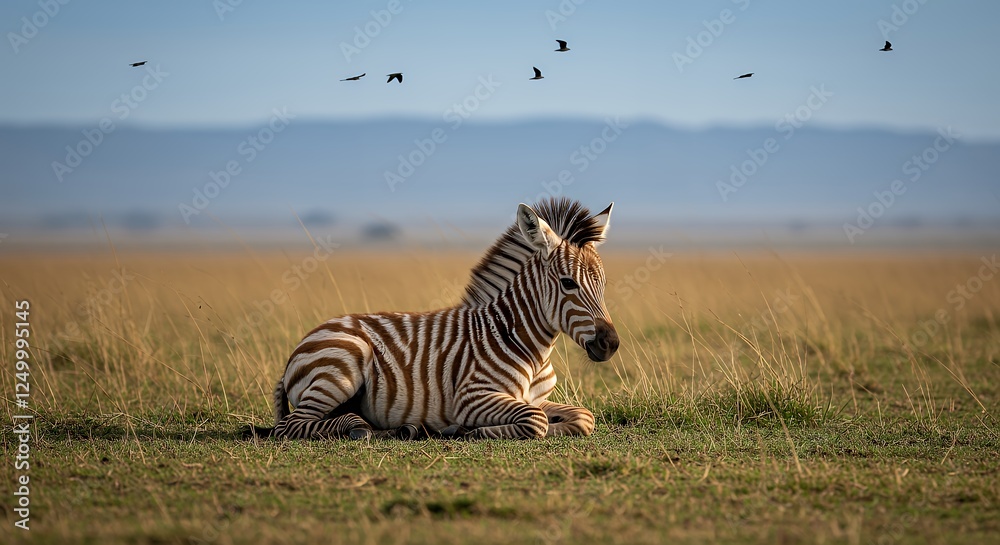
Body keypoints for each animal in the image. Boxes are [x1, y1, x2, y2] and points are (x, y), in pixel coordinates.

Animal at [251, 197, 619, 440]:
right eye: (568, 283)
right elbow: (535, 421)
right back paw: (362, 428)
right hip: (341, 365)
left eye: (603, 283)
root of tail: (305, 340)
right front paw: (469, 430)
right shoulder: (472, 396)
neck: (527, 344)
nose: (611, 344)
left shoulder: (539, 398)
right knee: (290, 426)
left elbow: (584, 417)